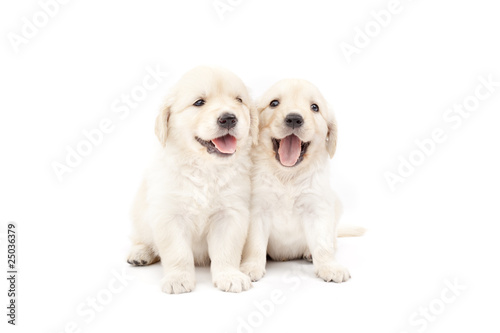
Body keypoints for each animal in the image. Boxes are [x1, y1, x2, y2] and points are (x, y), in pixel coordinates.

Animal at [127, 65, 258, 294]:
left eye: (239, 100)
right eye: (199, 102)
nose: (229, 118)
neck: (205, 168)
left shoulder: (230, 214)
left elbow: (227, 251)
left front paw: (229, 275)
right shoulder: (169, 215)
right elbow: (177, 252)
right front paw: (178, 278)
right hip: (139, 214)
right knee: (141, 238)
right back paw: (140, 253)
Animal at [239, 78, 364, 282]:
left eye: (315, 107)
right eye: (274, 103)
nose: (294, 119)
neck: (287, 175)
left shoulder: (317, 207)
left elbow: (322, 244)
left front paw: (329, 266)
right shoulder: (258, 209)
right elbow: (255, 244)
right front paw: (251, 266)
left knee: (332, 241)